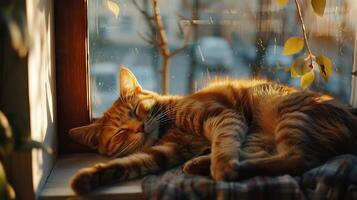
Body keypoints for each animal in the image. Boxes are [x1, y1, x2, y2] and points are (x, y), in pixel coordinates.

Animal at [69, 67, 356, 194]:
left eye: (137, 110)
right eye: (120, 133)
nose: (139, 128)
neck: (169, 127)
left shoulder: (223, 116)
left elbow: (224, 143)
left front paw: (222, 164)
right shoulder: (162, 153)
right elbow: (125, 164)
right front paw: (87, 178)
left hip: (289, 116)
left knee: (297, 160)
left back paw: (214, 166)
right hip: (261, 136)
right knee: (274, 157)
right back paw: (200, 164)